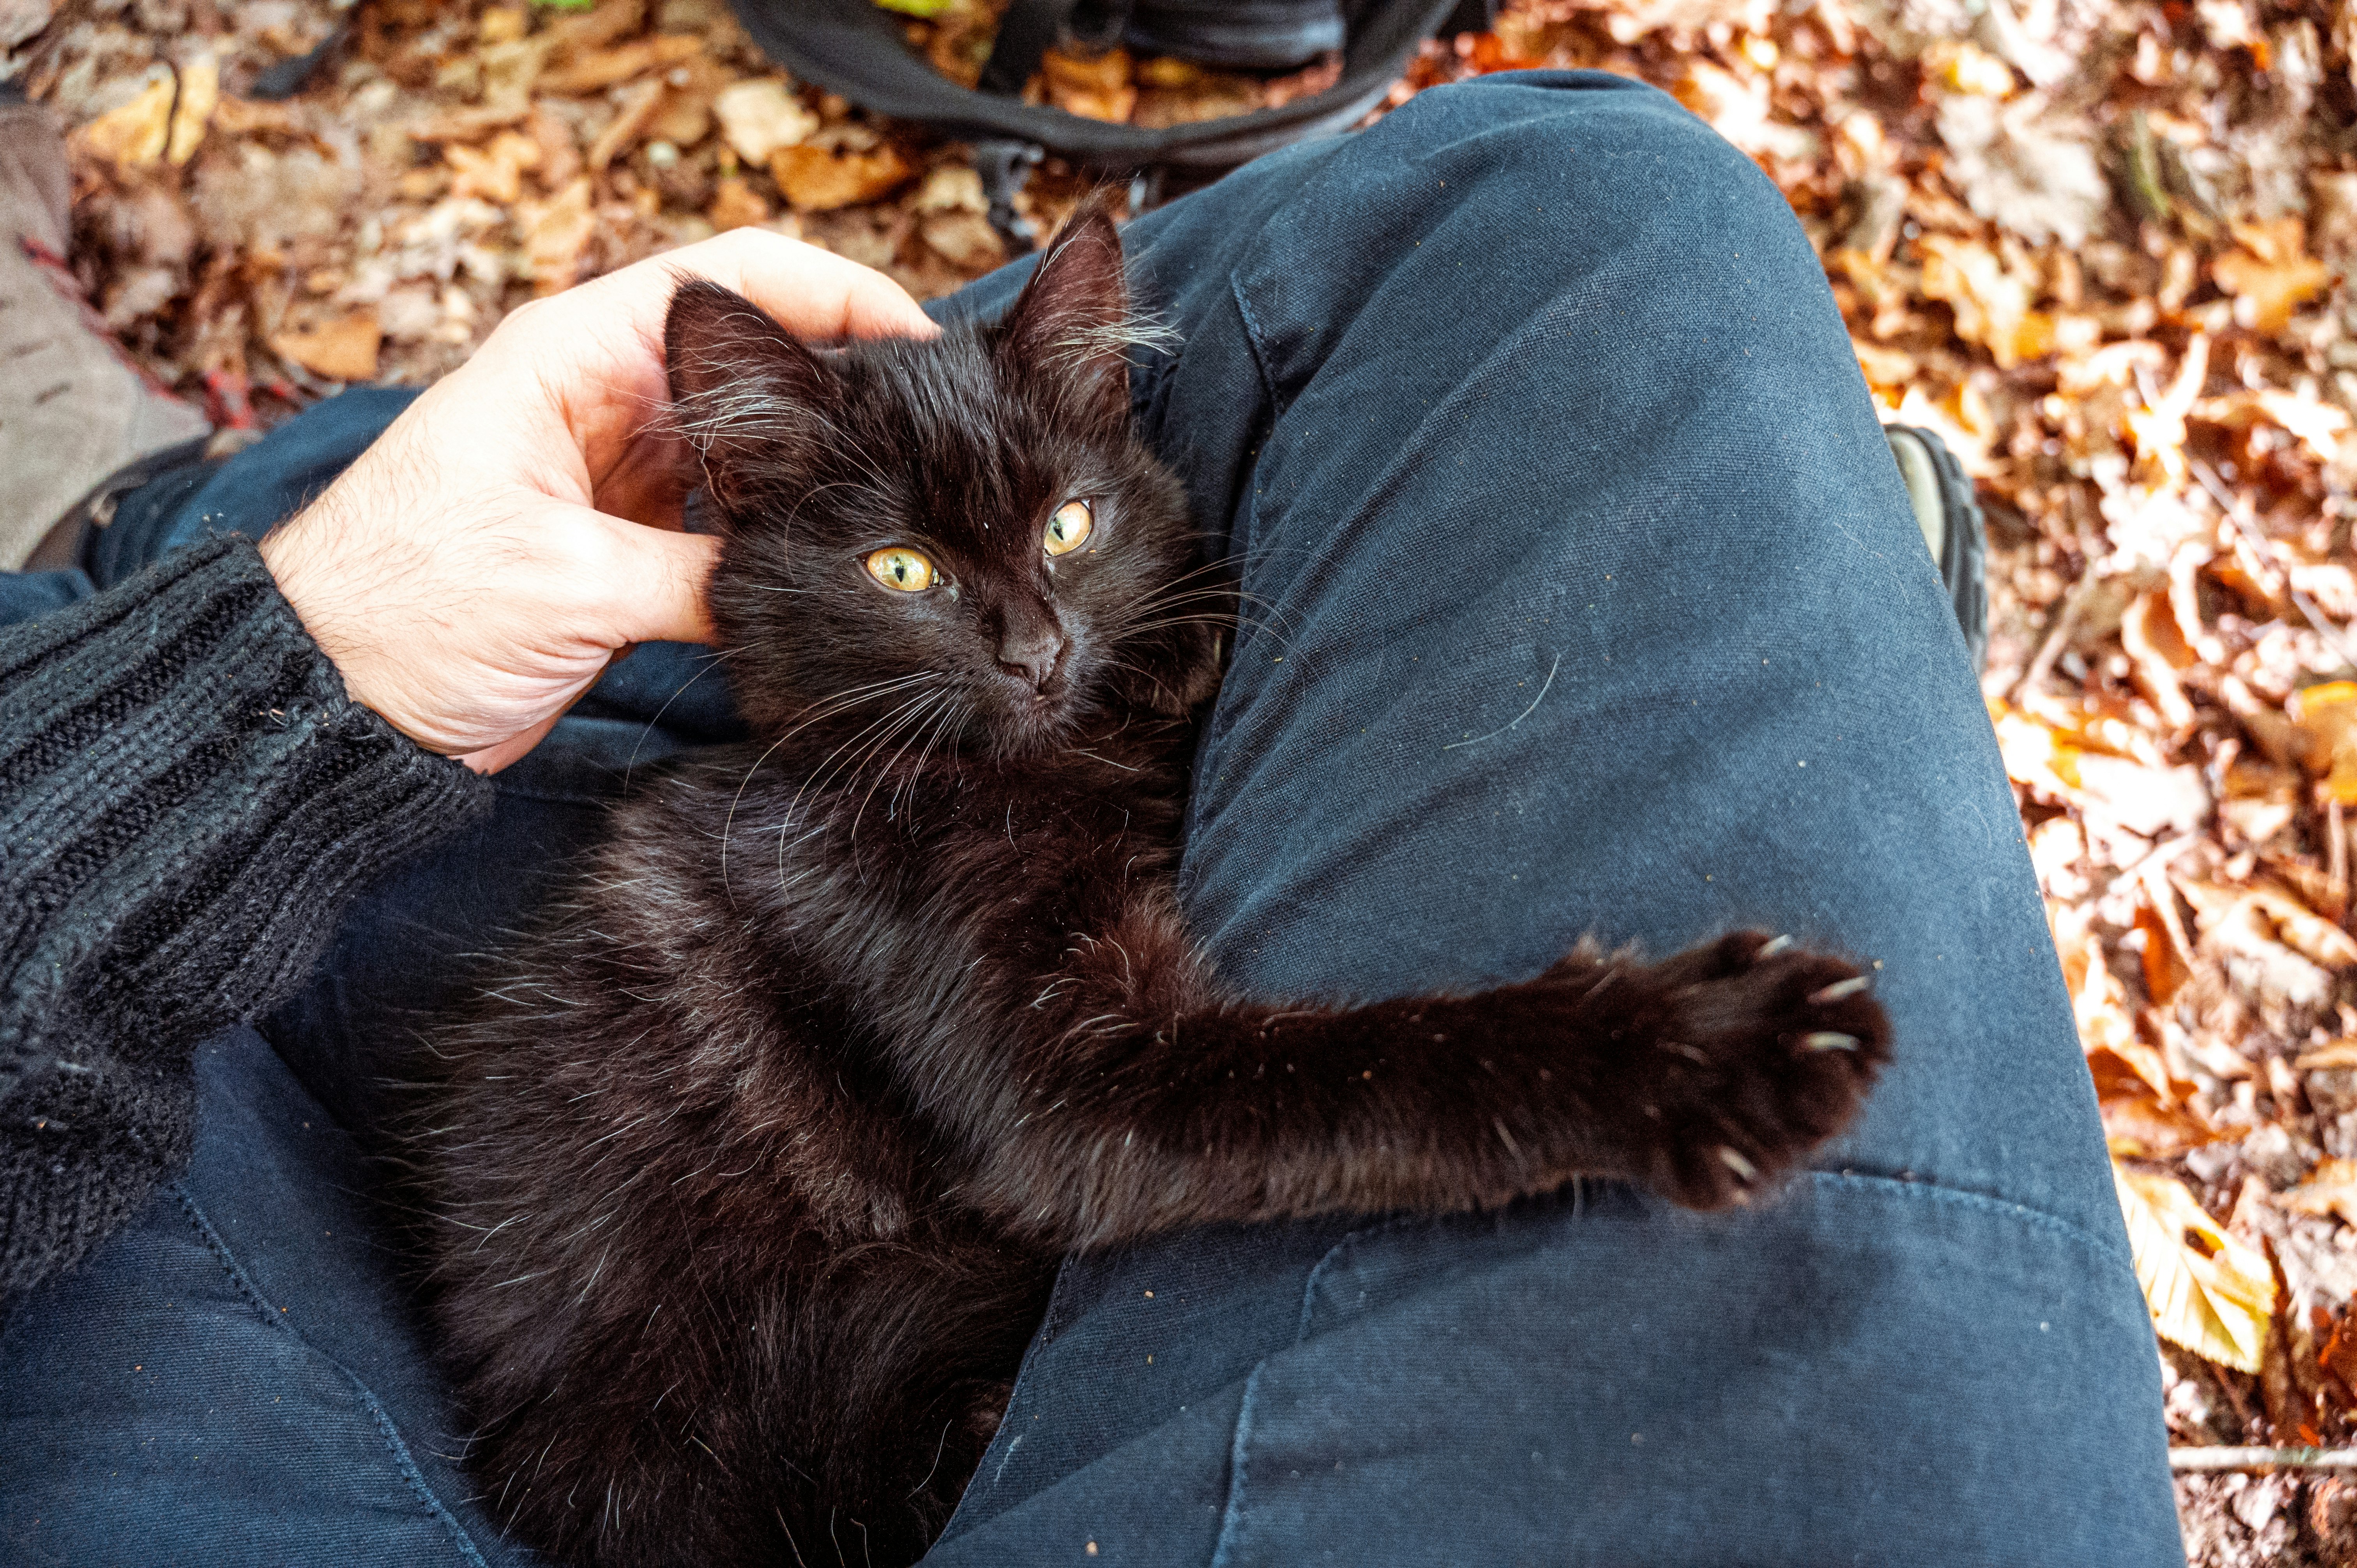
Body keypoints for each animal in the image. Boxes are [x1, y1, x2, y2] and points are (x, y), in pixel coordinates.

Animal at [419, 199, 1895, 1565]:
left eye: (1069, 526)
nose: (1035, 651)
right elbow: (1381, 1072)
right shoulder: (1056, 1077)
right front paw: (1705, 1050)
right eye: (902, 570)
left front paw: (1180, 641)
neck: (1035, 771)